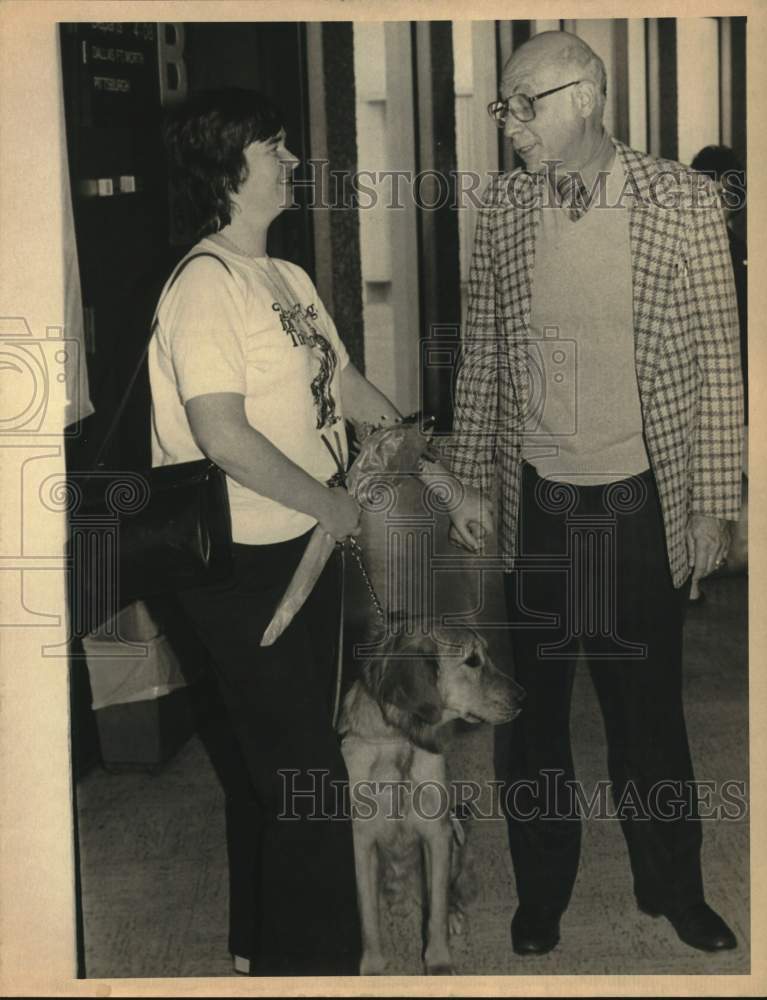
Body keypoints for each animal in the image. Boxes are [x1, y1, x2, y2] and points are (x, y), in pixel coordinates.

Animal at [340, 624, 524, 976]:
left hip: (458, 839)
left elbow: (436, 909)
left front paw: (438, 963)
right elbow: (368, 915)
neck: (400, 742)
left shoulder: (438, 834)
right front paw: (372, 968)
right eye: (472, 661)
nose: (523, 697)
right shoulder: (361, 841)